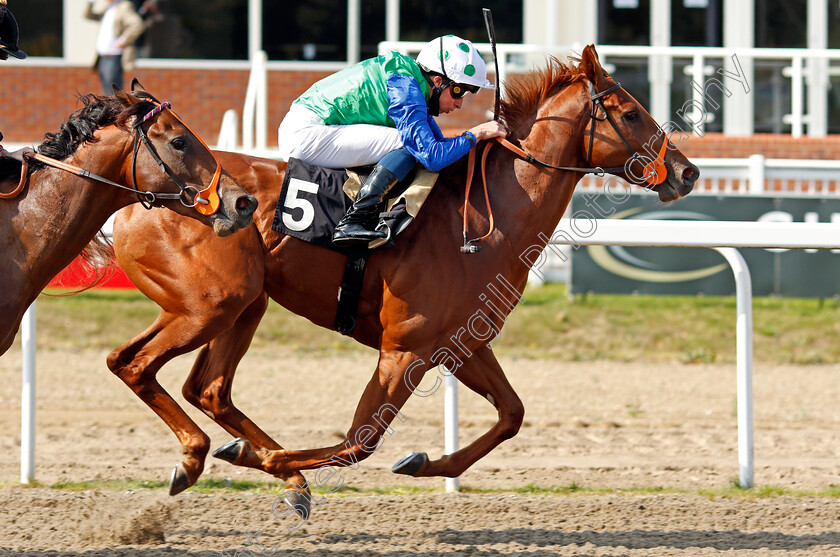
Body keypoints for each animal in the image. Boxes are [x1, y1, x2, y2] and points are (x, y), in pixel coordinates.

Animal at [111, 47, 700, 512]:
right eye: (631, 111)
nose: (688, 172)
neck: (480, 224)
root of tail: (142, 195)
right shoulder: (403, 350)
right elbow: (360, 440)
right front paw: (276, 460)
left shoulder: (461, 345)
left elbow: (511, 415)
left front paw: (420, 463)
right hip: (210, 303)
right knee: (135, 363)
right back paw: (210, 460)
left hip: (242, 304)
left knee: (207, 387)